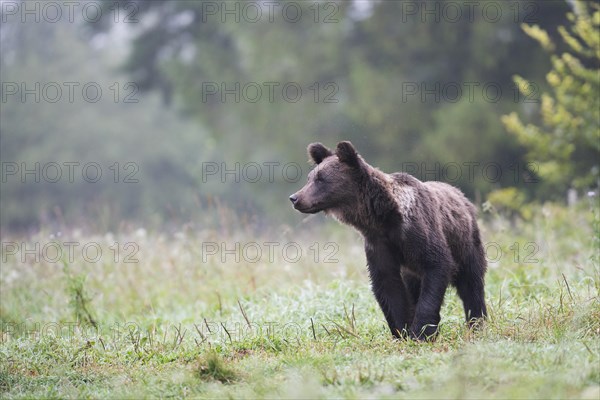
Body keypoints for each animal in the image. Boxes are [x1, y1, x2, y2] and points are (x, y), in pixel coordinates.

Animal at [290, 141, 488, 340]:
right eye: (310, 178)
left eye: (321, 179)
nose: (295, 198)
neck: (384, 218)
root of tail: (461, 195)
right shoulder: (378, 243)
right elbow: (388, 285)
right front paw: (402, 331)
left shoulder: (417, 234)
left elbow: (436, 266)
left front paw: (421, 332)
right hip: (413, 269)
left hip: (466, 242)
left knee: (471, 283)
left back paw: (477, 323)